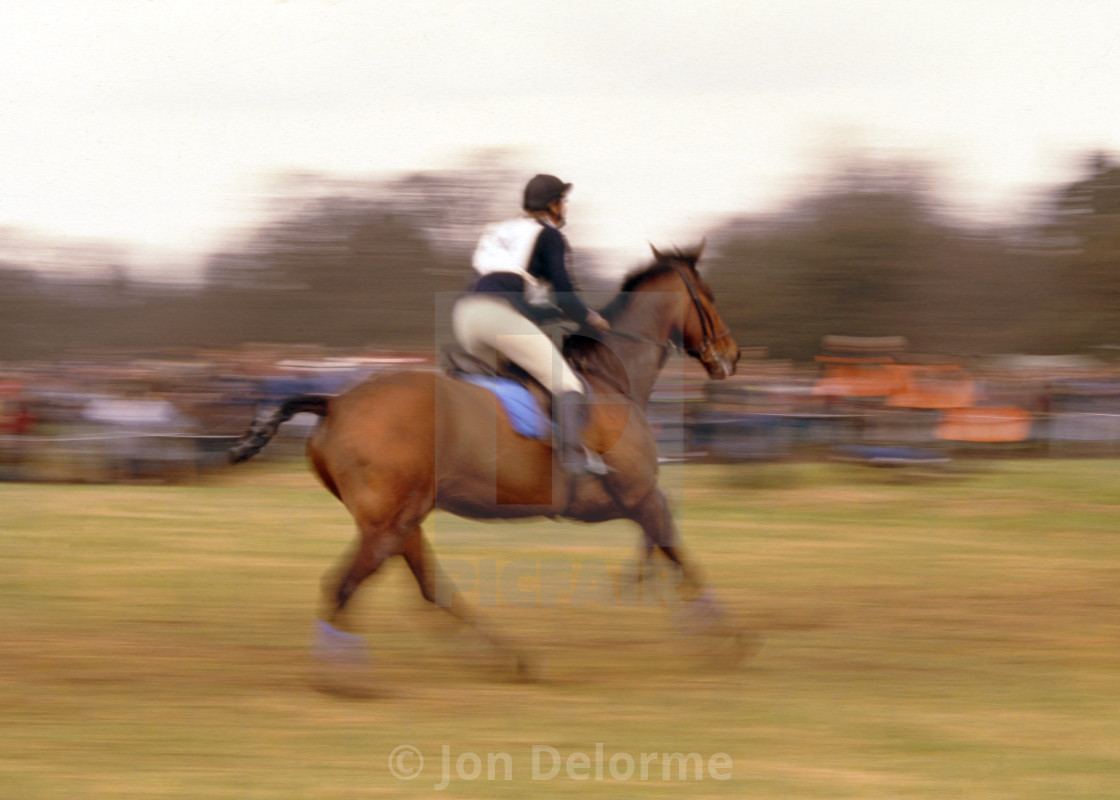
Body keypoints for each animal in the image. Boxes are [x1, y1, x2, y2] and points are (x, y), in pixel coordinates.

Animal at [228, 242, 748, 672]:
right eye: (709, 295)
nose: (732, 355)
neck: (612, 376)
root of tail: (335, 401)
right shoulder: (632, 494)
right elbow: (675, 544)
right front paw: (720, 634)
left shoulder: (629, 498)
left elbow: (663, 537)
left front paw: (650, 588)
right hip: (390, 522)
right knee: (348, 585)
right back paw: (347, 675)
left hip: (401, 520)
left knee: (426, 588)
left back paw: (504, 657)